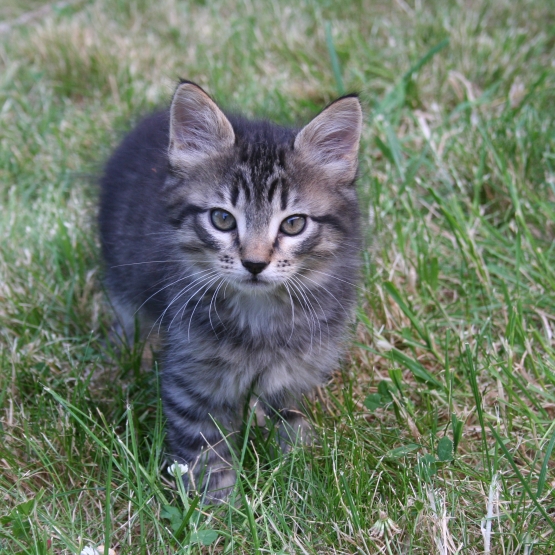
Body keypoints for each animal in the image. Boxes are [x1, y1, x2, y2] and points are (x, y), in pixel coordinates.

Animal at [97, 80, 362, 502]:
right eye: (222, 219)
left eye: (293, 224)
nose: (254, 263)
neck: (262, 315)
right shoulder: (192, 378)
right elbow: (204, 452)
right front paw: (219, 508)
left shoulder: (300, 367)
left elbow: (291, 422)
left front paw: (301, 472)